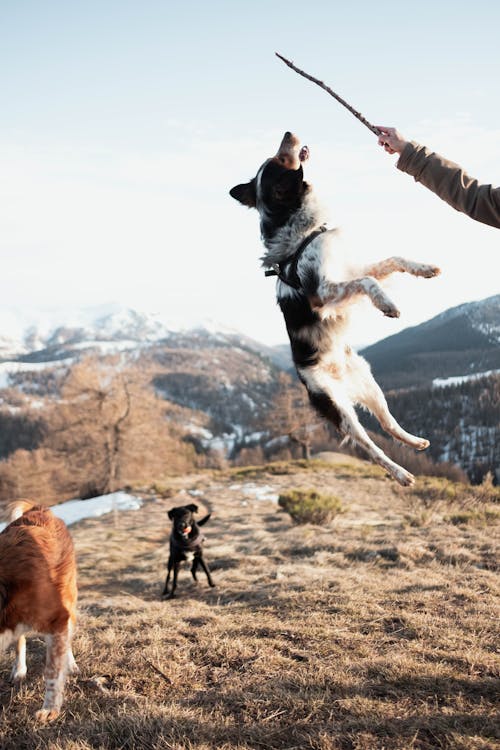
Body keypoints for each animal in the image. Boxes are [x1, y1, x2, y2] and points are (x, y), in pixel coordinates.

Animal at [229, 132, 440, 490]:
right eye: (280, 160)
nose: (288, 133)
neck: (302, 230)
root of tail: (340, 378)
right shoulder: (323, 292)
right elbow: (369, 281)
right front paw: (388, 305)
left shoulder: (349, 269)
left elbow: (391, 261)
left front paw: (424, 268)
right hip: (338, 409)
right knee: (371, 448)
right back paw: (401, 474)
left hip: (370, 383)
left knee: (388, 423)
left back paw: (415, 442)